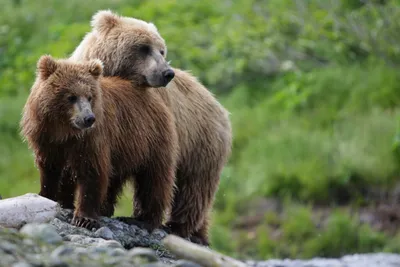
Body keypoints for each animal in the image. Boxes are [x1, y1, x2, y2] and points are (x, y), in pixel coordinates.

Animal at [20, 55, 178, 231]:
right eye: (71, 96)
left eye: (90, 96)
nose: (88, 118)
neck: (65, 131)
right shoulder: (46, 138)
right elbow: (50, 169)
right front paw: (47, 196)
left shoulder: (92, 139)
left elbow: (92, 172)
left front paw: (84, 218)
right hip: (124, 151)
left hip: (151, 140)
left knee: (153, 181)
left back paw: (145, 220)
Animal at [68, 9, 231, 247]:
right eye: (144, 47)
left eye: (162, 50)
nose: (167, 73)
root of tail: (218, 104)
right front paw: (102, 206)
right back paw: (200, 234)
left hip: (201, 141)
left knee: (194, 187)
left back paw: (179, 226)